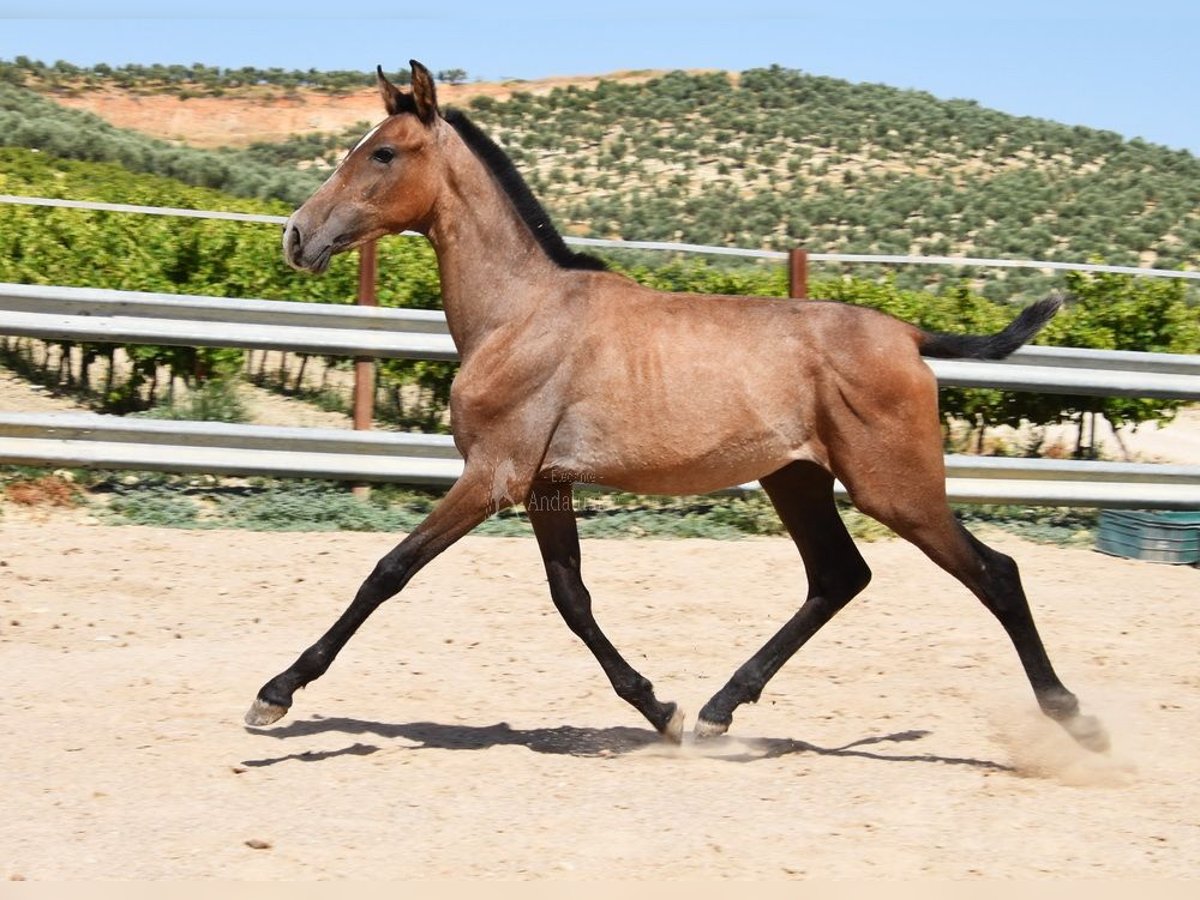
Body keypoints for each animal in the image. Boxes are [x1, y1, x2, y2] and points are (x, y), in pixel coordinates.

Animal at [243, 60, 1104, 758]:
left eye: (383, 152)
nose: (296, 237)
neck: (521, 313)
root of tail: (906, 332)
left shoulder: (494, 475)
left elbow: (387, 570)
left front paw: (273, 697)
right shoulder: (546, 484)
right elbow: (572, 598)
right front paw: (660, 709)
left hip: (897, 488)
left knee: (995, 573)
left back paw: (1077, 720)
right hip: (797, 480)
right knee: (838, 576)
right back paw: (720, 711)